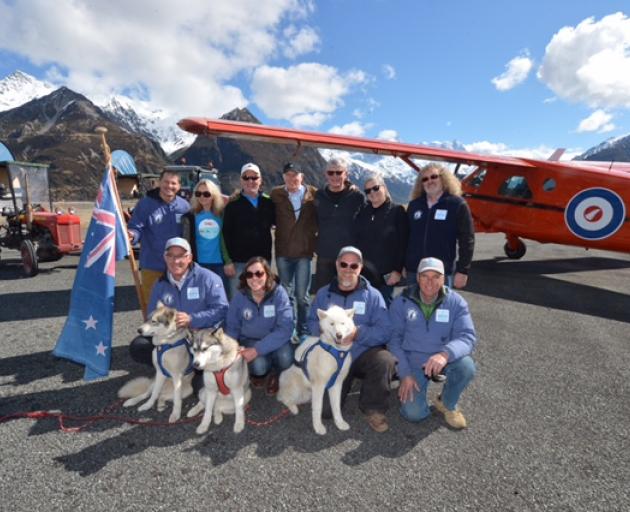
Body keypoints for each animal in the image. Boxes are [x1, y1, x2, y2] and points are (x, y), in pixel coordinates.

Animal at [278, 306, 356, 434]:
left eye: (343, 323)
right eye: (332, 324)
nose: (339, 335)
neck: (336, 351)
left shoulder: (337, 383)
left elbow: (336, 407)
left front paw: (339, 423)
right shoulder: (319, 385)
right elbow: (318, 408)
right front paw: (318, 427)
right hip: (296, 388)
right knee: (284, 398)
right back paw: (293, 408)